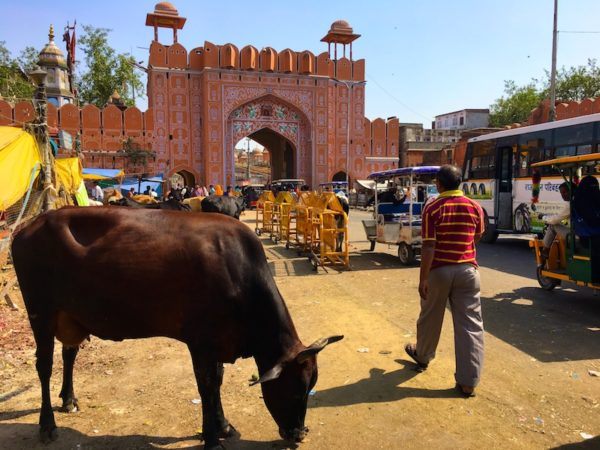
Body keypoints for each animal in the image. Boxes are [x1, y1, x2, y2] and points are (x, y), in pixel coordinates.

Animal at [11, 208, 342, 450]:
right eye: (296, 387)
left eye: (311, 386)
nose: (299, 434)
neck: (238, 273)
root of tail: (27, 227)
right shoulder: (200, 341)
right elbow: (206, 386)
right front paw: (211, 438)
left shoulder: (218, 341)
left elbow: (218, 381)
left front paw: (223, 425)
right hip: (40, 311)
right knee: (44, 365)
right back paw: (47, 425)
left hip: (73, 315)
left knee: (69, 354)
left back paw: (68, 399)